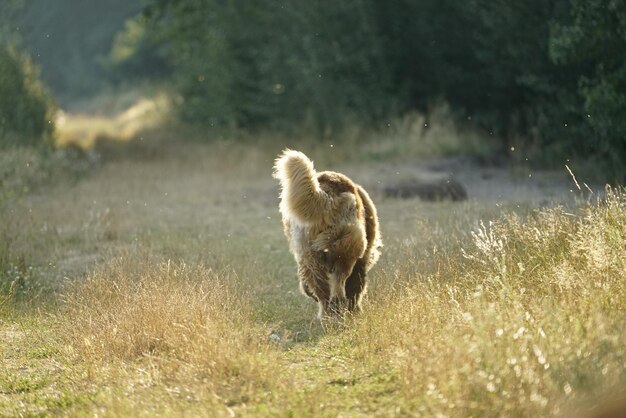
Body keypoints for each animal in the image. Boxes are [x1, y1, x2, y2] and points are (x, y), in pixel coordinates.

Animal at [272, 149, 380, 316]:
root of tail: (327, 196)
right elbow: (356, 286)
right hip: (347, 247)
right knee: (339, 280)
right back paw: (338, 305)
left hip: (308, 254)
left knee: (322, 290)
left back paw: (326, 312)